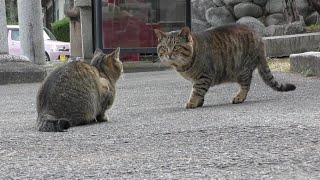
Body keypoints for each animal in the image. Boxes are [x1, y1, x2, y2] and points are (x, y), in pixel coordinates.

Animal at [154, 23, 296, 108]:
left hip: (243, 69)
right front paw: (199, 102)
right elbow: (198, 91)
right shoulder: (197, 79)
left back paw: (239, 97)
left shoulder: (204, 76)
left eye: (176, 47)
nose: (169, 54)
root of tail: (259, 36)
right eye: (164, 47)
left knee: (246, 85)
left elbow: (197, 91)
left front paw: (192, 102)